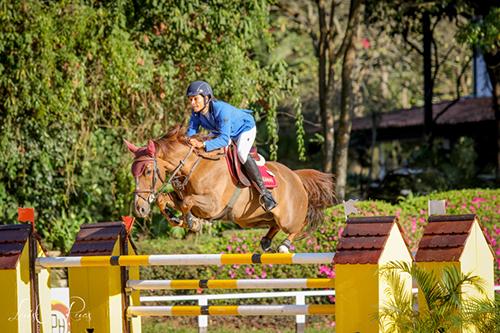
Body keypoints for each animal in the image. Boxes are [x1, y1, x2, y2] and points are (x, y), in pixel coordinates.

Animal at [125, 124, 336, 252]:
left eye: (148, 171)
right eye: (133, 172)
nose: (139, 209)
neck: (195, 166)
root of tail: (296, 177)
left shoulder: (213, 206)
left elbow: (187, 202)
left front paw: (192, 222)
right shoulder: (184, 198)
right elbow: (165, 199)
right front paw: (177, 220)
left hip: (288, 218)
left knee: (299, 224)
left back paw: (283, 245)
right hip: (253, 219)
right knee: (273, 225)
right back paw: (266, 241)